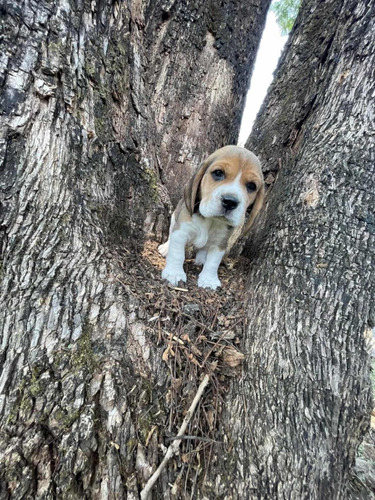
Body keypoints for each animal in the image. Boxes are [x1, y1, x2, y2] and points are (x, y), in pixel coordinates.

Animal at [158, 145, 264, 290]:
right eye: (218, 173)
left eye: (252, 186)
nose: (230, 202)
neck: (211, 220)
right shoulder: (181, 231)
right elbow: (177, 253)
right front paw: (174, 273)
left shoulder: (221, 243)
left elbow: (213, 262)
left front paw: (209, 280)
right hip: (175, 217)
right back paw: (166, 248)